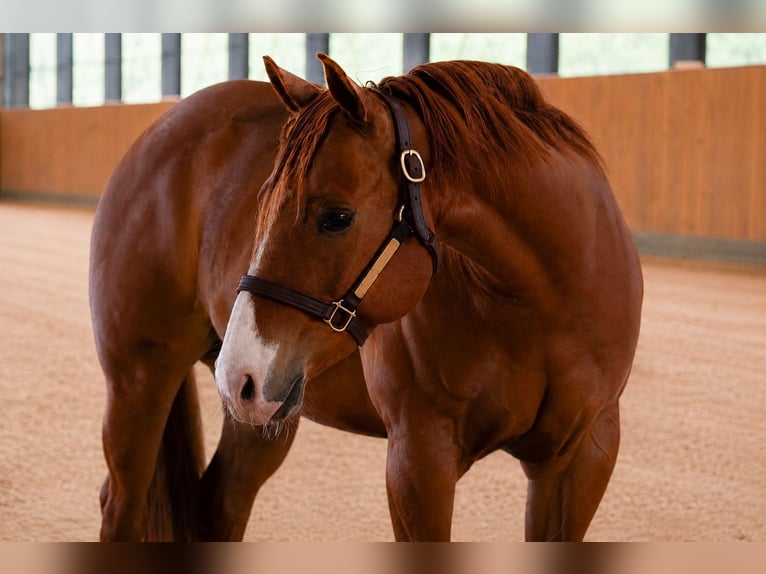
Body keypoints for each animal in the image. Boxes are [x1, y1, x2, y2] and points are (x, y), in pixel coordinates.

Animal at [91, 53, 642, 541]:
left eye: (337, 217)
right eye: (262, 202)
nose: (238, 373)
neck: (541, 305)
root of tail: (158, 133)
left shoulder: (581, 460)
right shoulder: (418, 461)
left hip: (260, 418)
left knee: (220, 503)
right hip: (142, 380)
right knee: (121, 504)